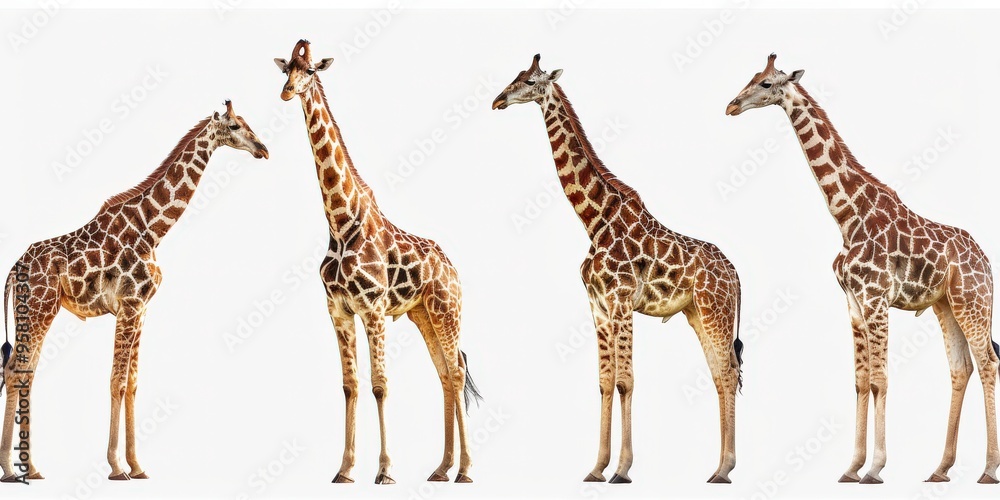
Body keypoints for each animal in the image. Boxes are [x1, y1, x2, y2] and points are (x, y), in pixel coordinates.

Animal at [0, 100, 268, 482]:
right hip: (41, 307)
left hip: (37, 310)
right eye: (233, 126)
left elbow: (134, 383)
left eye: (246, 123)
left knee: (26, 372)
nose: (263, 149)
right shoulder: (128, 305)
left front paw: (137, 465)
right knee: (17, 370)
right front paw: (115, 467)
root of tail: (13, 269)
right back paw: (11, 469)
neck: (152, 229)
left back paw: (32, 468)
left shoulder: (141, 307)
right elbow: (117, 381)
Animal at [274, 40, 482, 485]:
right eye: (285, 70)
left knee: (457, 372)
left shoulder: (372, 309)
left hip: (447, 310)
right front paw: (344, 469)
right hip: (423, 314)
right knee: (444, 373)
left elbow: (380, 384)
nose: (287, 91)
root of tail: (454, 269)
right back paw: (441, 468)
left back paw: (466, 469)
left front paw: (385, 470)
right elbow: (350, 384)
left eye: (310, 70)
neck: (340, 221)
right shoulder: (337, 309)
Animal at [493, 54, 744, 484]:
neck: (594, 219)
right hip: (697, 313)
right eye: (514, 76)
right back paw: (718, 468)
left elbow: (626, 382)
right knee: (719, 374)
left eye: (528, 80)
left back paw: (725, 469)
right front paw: (596, 468)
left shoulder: (622, 299)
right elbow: (604, 383)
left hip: (716, 312)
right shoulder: (597, 305)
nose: (498, 100)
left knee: (727, 374)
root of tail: (737, 275)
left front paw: (623, 469)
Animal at [726, 53, 1000, 484]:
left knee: (989, 363)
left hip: (972, 302)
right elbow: (860, 380)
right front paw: (851, 467)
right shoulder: (854, 303)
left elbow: (880, 378)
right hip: (946, 306)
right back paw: (940, 469)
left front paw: (875, 467)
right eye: (752, 77)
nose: (731, 106)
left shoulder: (876, 298)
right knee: (961, 368)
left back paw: (988, 469)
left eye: (767, 83)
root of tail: (985, 261)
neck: (846, 216)